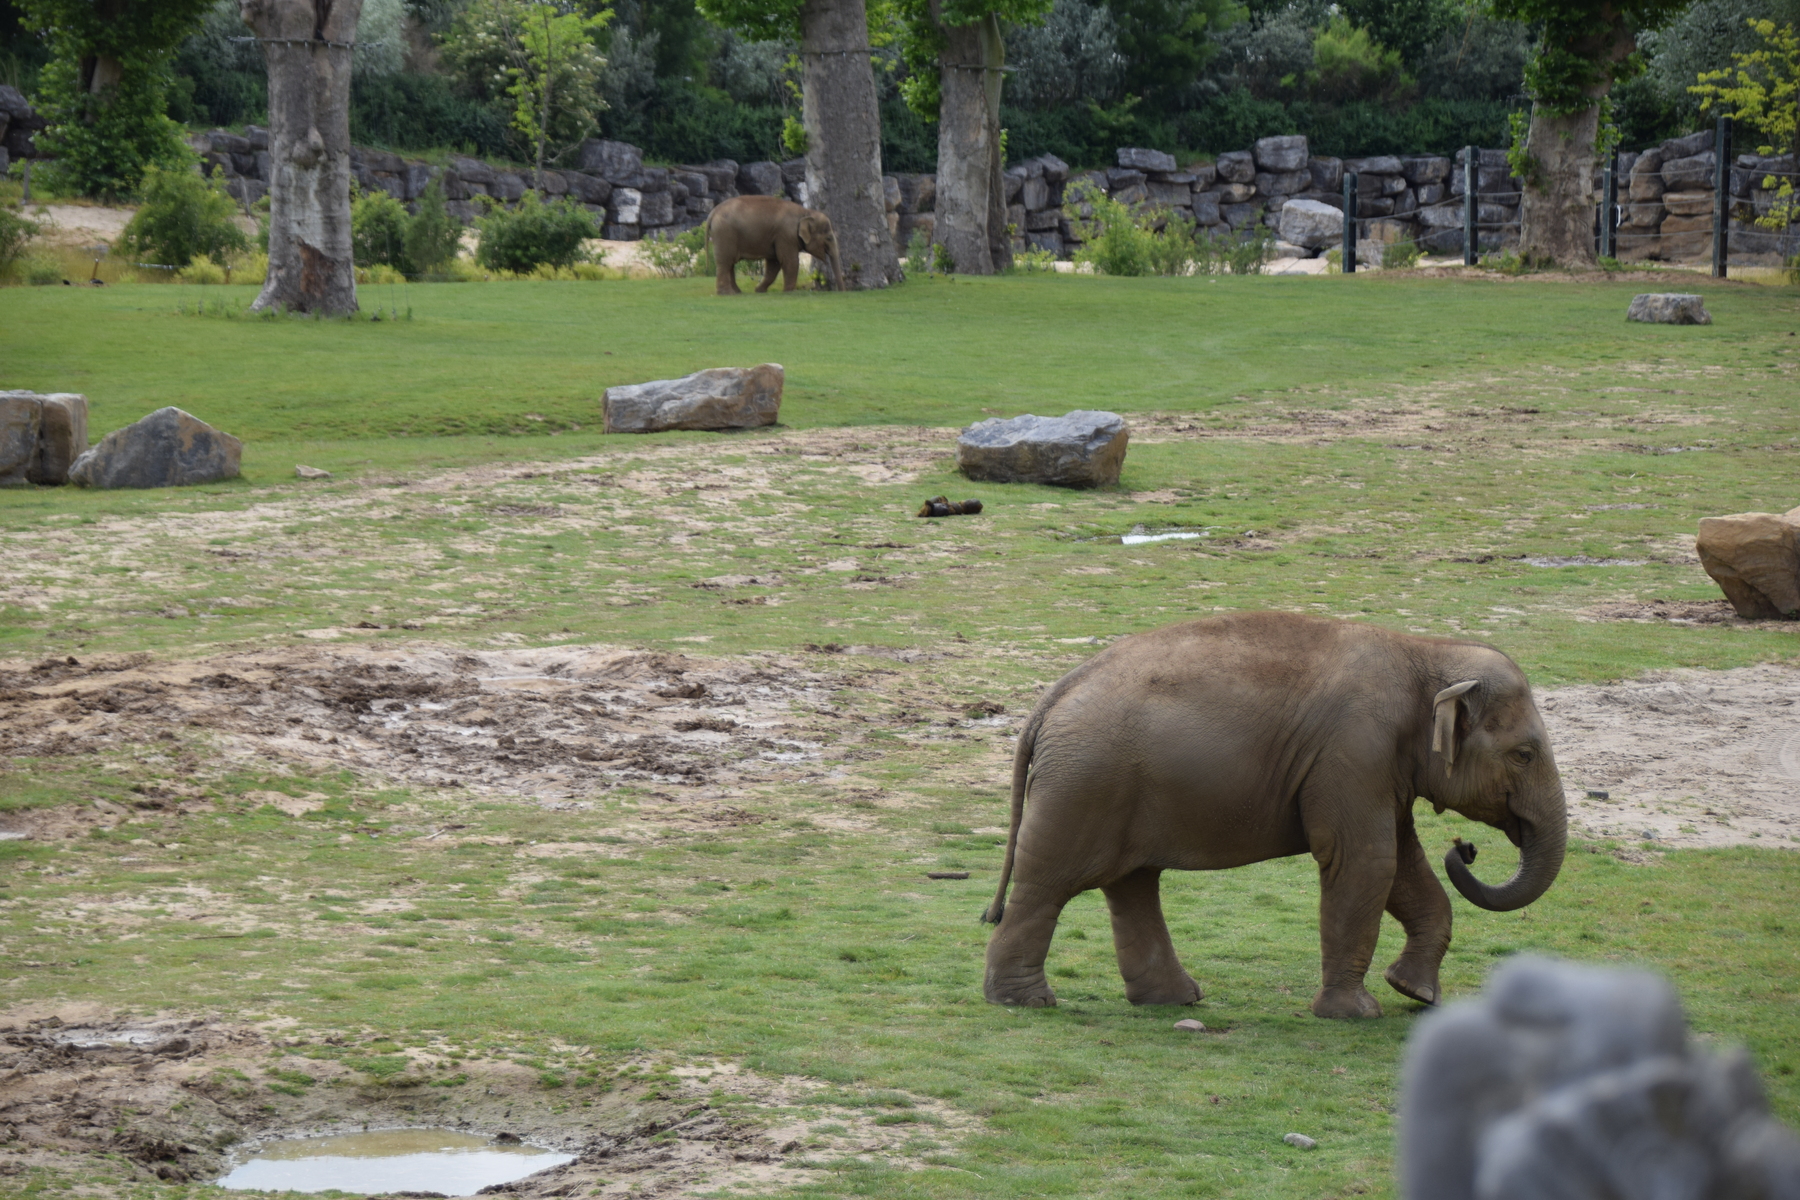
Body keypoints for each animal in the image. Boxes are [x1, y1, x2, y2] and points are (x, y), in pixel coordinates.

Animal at [704, 195, 844, 295]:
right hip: (725, 234)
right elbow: (790, 261)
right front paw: (790, 292)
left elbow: (774, 263)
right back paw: (726, 294)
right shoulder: (786, 235)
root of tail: (713, 212)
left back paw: (737, 292)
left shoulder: (777, 238)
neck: (805, 212)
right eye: (829, 238)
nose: (842, 291)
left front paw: (759, 291)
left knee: (730, 263)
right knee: (725, 262)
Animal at [981, 612, 1568, 1019]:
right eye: (1524, 755)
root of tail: (1049, 700)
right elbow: (1367, 862)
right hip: (1083, 786)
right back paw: (1025, 1003)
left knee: (1133, 883)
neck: (1423, 652)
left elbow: (1402, 865)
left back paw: (1174, 1001)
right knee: (1048, 882)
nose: (1464, 848)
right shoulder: (1354, 751)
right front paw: (1356, 1014)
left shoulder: (1378, 767)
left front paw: (1416, 992)